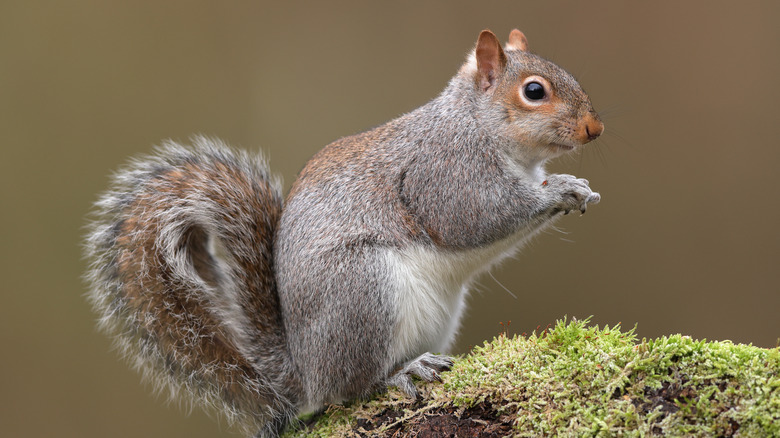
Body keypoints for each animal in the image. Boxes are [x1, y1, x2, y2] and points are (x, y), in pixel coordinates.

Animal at [85, 29, 604, 436]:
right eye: (534, 91)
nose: (594, 129)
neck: (476, 122)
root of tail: (303, 370)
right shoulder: (442, 172)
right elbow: (474, 218)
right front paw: (559, 188)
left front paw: (576, 187)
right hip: (362, 291)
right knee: (351, 387)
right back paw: (401, 372)